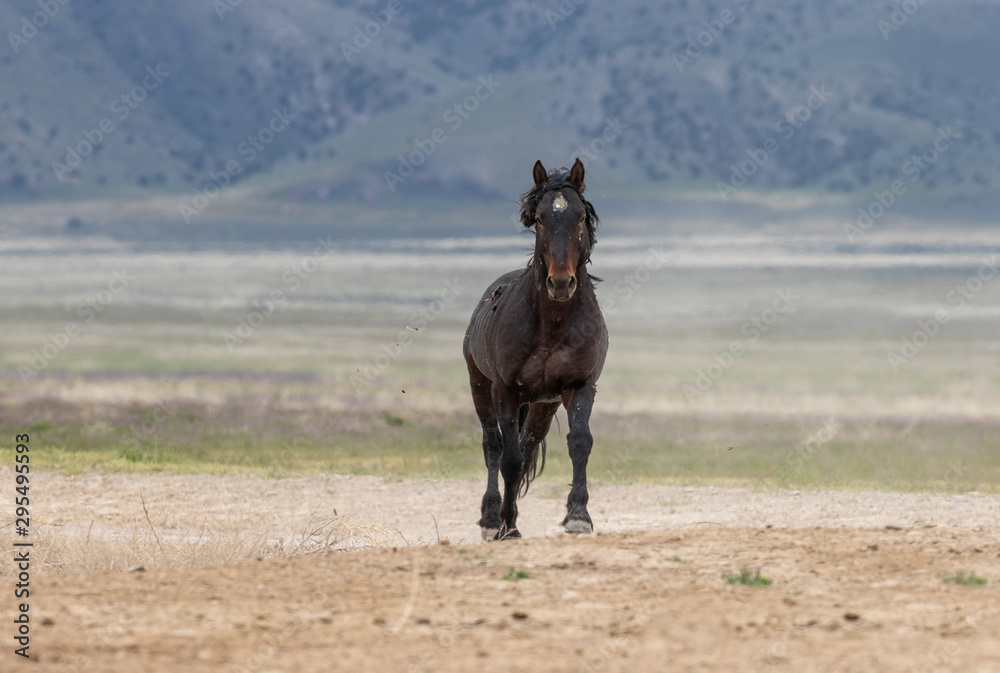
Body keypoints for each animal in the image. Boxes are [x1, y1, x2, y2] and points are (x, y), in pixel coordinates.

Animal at [463, 158, 608, 540]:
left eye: (580, 217)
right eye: (540, 218)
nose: (561, 282)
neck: (553, 324)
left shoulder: (578, 387)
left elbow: (580, 442)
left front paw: (578, 516)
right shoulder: (505, 391)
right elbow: (509, 458)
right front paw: (504, 524)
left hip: (544, 404)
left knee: (527, 445)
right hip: (480, 387)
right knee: (494, 447)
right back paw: (492, 518)